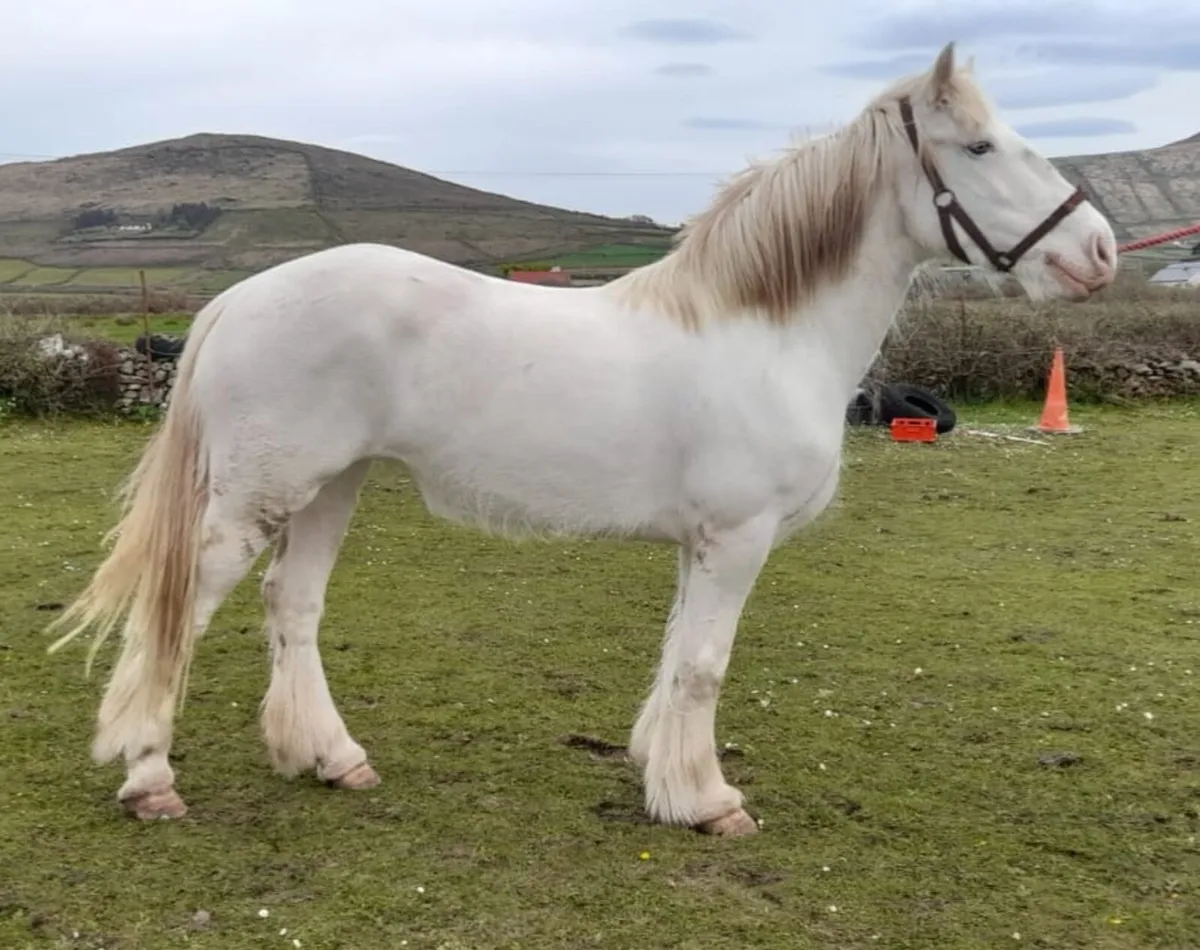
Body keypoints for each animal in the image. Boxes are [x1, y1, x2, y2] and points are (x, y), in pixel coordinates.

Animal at [47, 42, 1116, 836]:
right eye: (978, 148)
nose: (1099, 250)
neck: (765, 332)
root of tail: (236, 300)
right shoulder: (737, 538)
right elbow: (704, 664)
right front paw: (708, 803)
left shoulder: (702, 542)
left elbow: (677, 656)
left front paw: (661, 771)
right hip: (256, 497)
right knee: (183, 606)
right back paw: (150, 779)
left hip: (331, 486)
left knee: (292, 604)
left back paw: (332, 759)